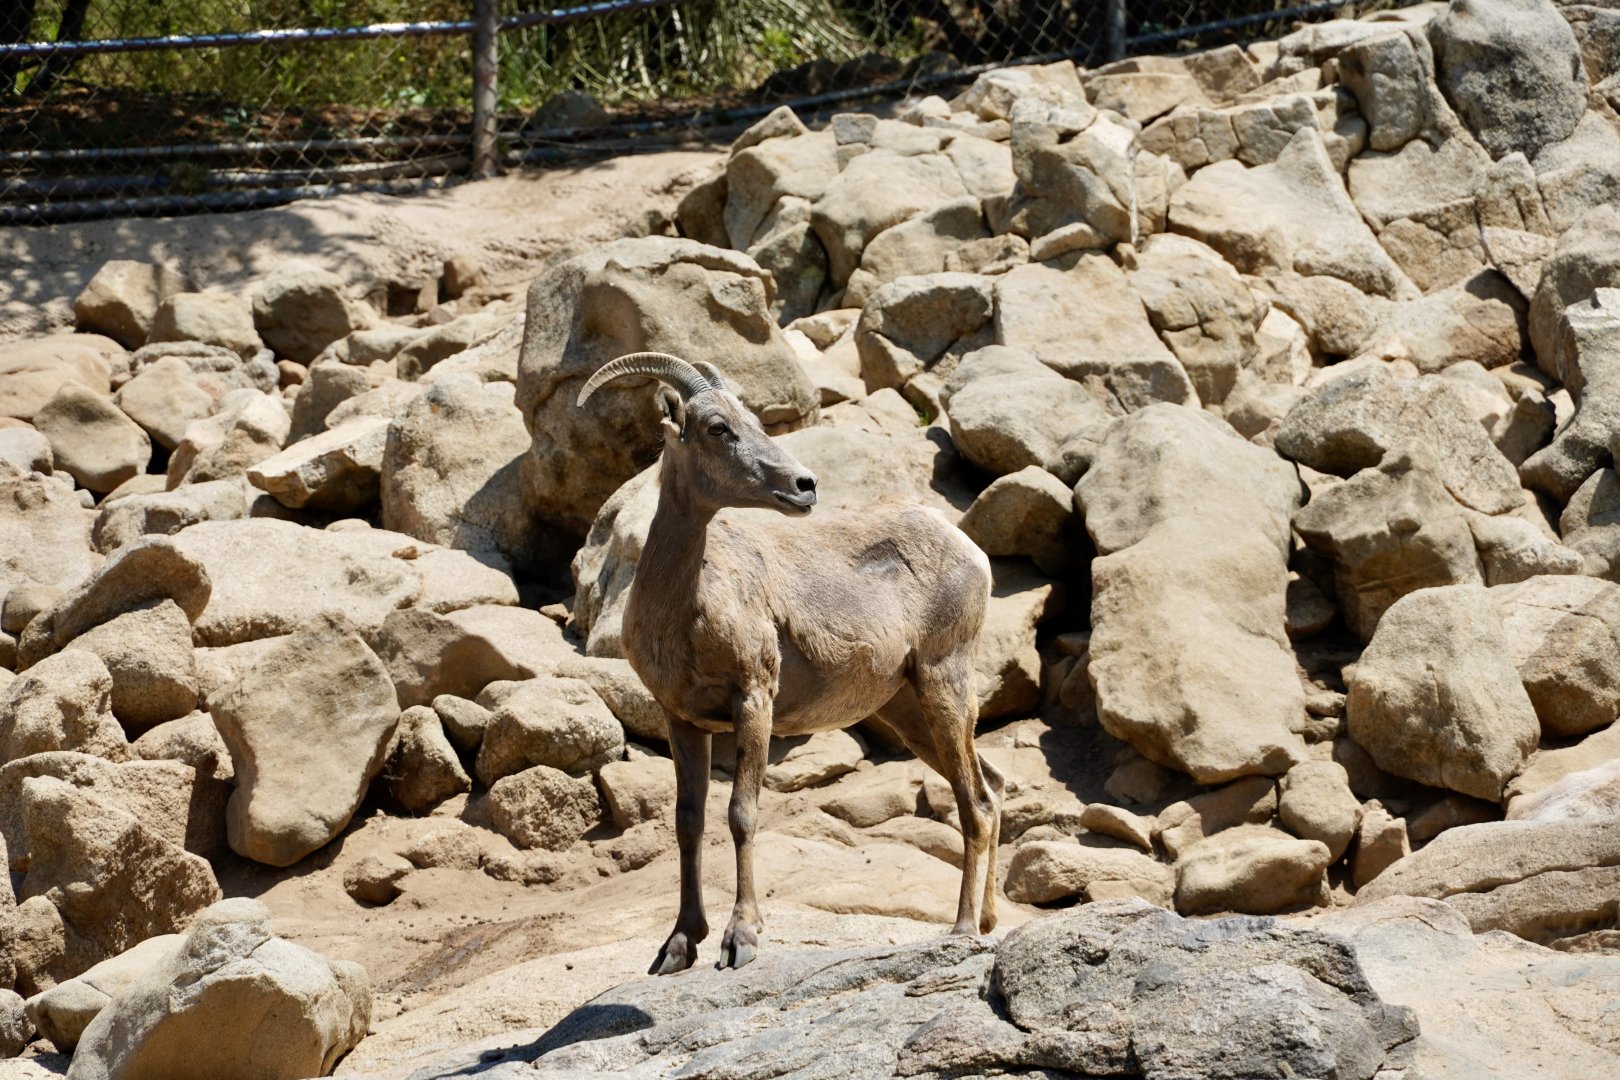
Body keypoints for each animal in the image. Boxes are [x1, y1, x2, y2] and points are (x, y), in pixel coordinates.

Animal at [577, 351, 1003, 975]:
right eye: (718, 428)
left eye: (752, 419)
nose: (804, 485)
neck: (686, 603)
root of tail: (972, 552)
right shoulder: (682, 719)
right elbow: (687, 822)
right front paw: (678, 946)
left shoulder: (754, 698)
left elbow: (741, 813)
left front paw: (740, 941)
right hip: (908, 711)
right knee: (991, 790)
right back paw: (991, 921)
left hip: (943, 684)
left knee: (975, 806)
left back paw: (964, 928)